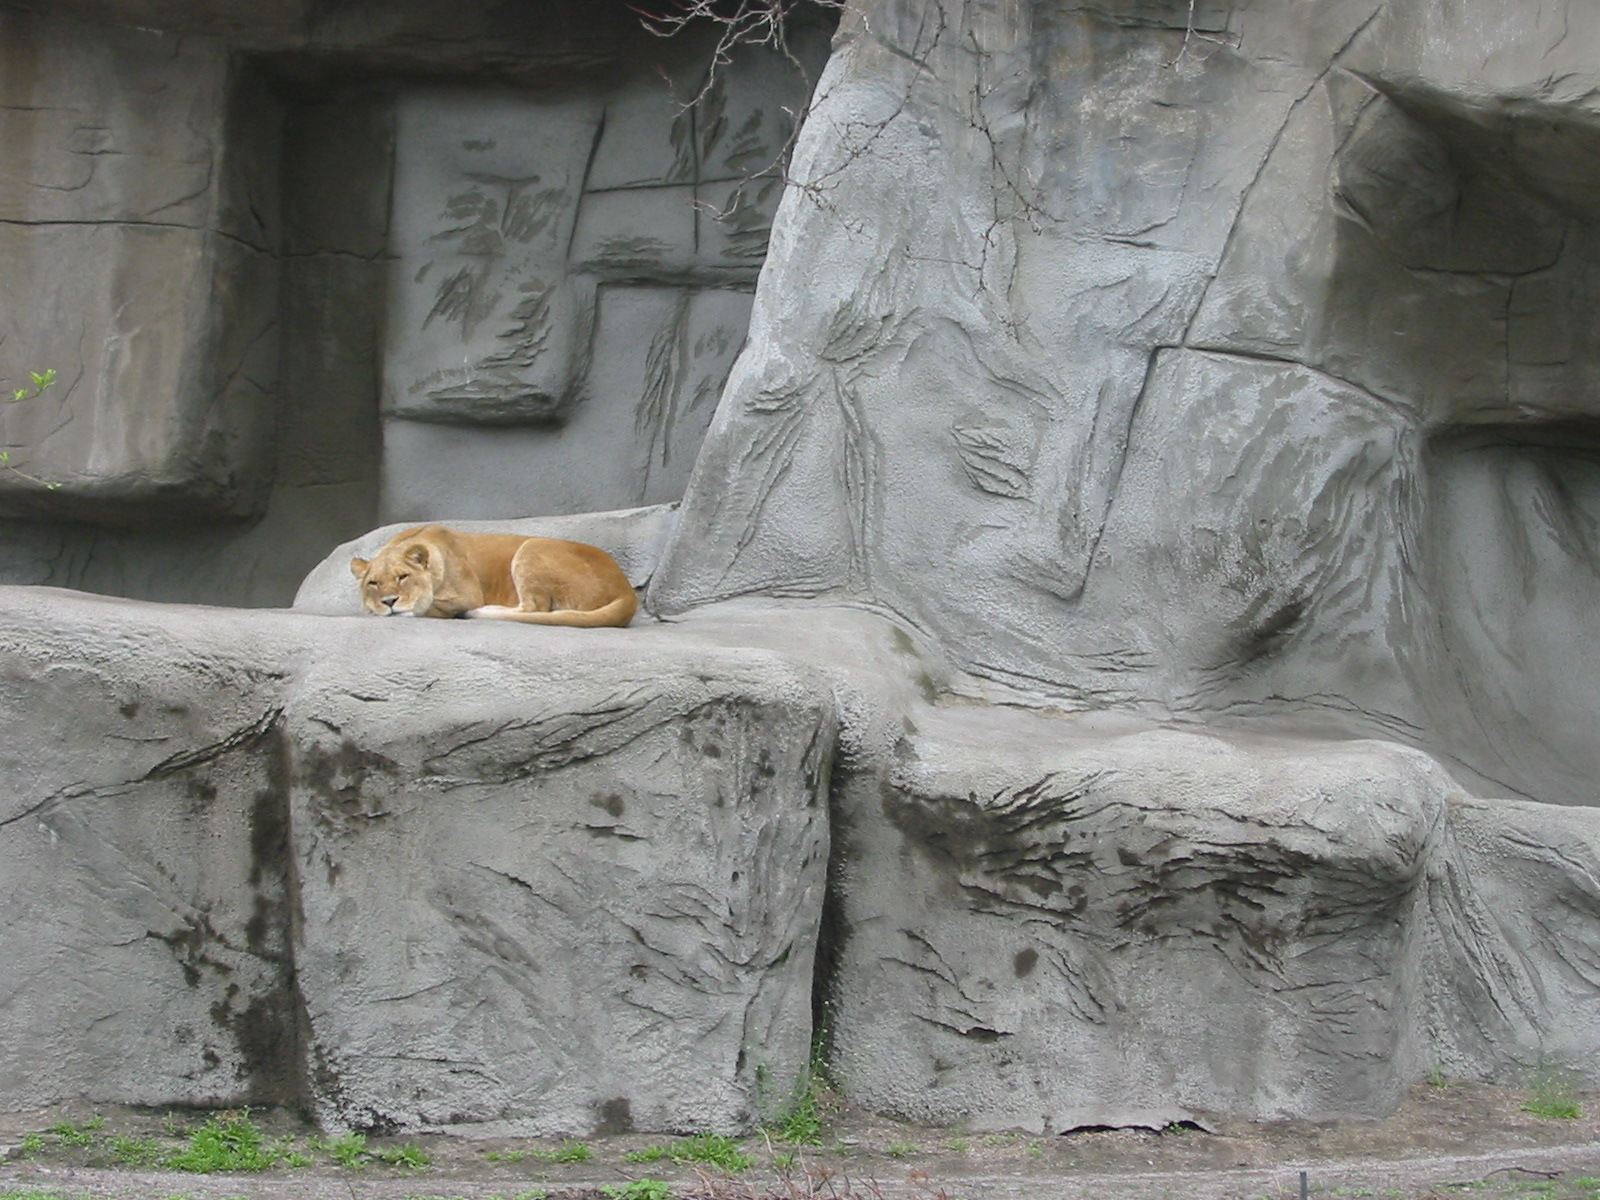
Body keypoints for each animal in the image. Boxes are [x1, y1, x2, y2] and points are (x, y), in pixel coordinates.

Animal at [350, 525, 637, 628]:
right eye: (373, 583)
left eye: (403, 577)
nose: (389, 601)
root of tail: (627, 590)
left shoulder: (467, 595)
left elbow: (431, 606)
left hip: (531, 547)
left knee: (535, 608)